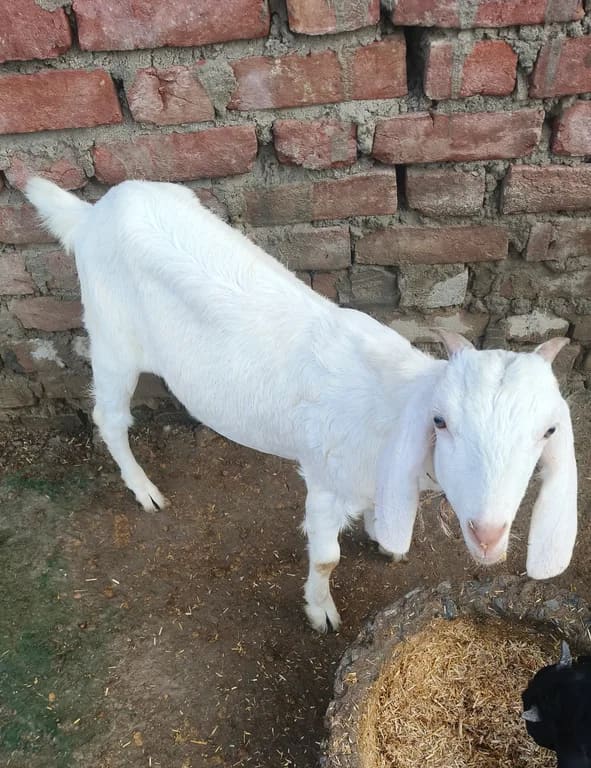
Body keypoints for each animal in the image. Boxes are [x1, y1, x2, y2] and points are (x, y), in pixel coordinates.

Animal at [26, 177, 578, 632]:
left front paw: (380, 535)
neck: (390, 409)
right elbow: (327, 557)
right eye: (440, 421)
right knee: (109, 418)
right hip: (111, 336)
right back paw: (144, 490)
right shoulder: (325, 483)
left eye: (548, 431)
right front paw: (321, 611)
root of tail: (90, 214)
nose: (487, 534)